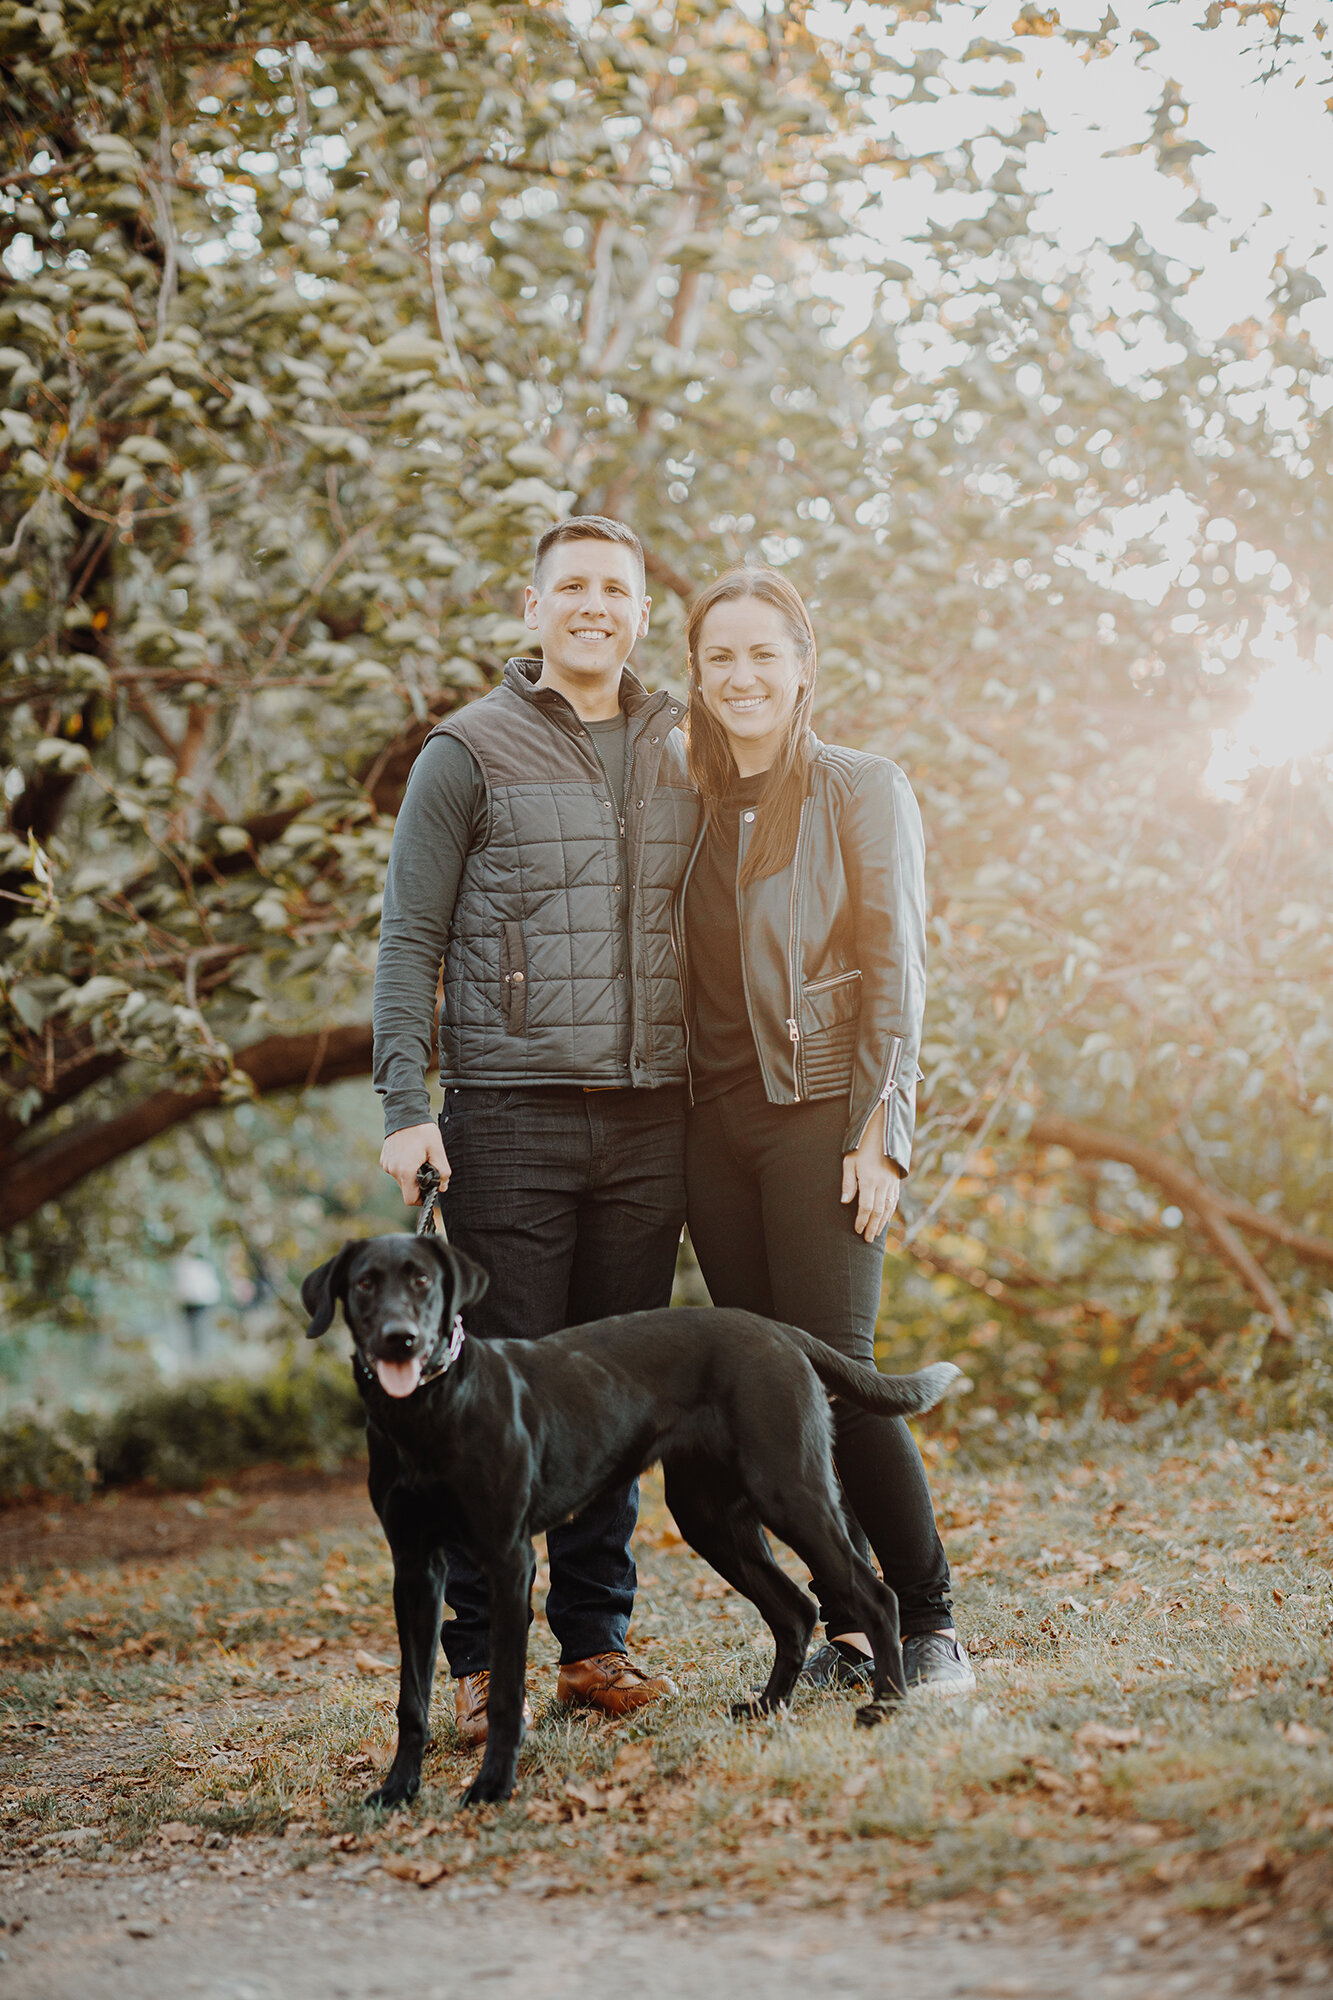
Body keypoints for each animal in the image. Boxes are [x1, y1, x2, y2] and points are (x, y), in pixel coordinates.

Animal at [300, 1232, 956, 1816]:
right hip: (709, 1519)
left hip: (790, 1492)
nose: (400, 1340)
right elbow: (411, 1700)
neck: (427, 1412)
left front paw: (492, 1786)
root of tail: (779, 1330)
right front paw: (397, 1790)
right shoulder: (413, 1569)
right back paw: (768, 1706)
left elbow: (508, 1694)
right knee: (794, 1609)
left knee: (873, 1594)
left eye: (423, 1281)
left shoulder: (508, 1558)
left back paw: (887, 1706)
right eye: (364, 1284)